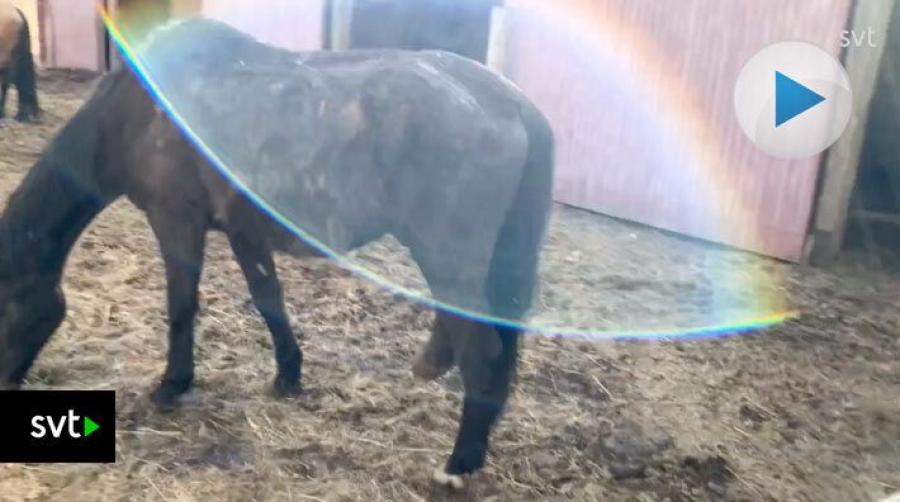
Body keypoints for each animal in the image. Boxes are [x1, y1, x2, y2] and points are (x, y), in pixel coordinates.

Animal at [0, 18, 553, 487]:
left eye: (9, 310)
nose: (5, 388)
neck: (136, 116)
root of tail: (512, 103)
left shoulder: (176, 221)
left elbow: (181, 307)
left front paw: (172, 385)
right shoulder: (244, 231)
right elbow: (269, 300)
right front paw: (288, 374)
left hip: (447, 257)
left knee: (481, 353)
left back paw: (458, 465)